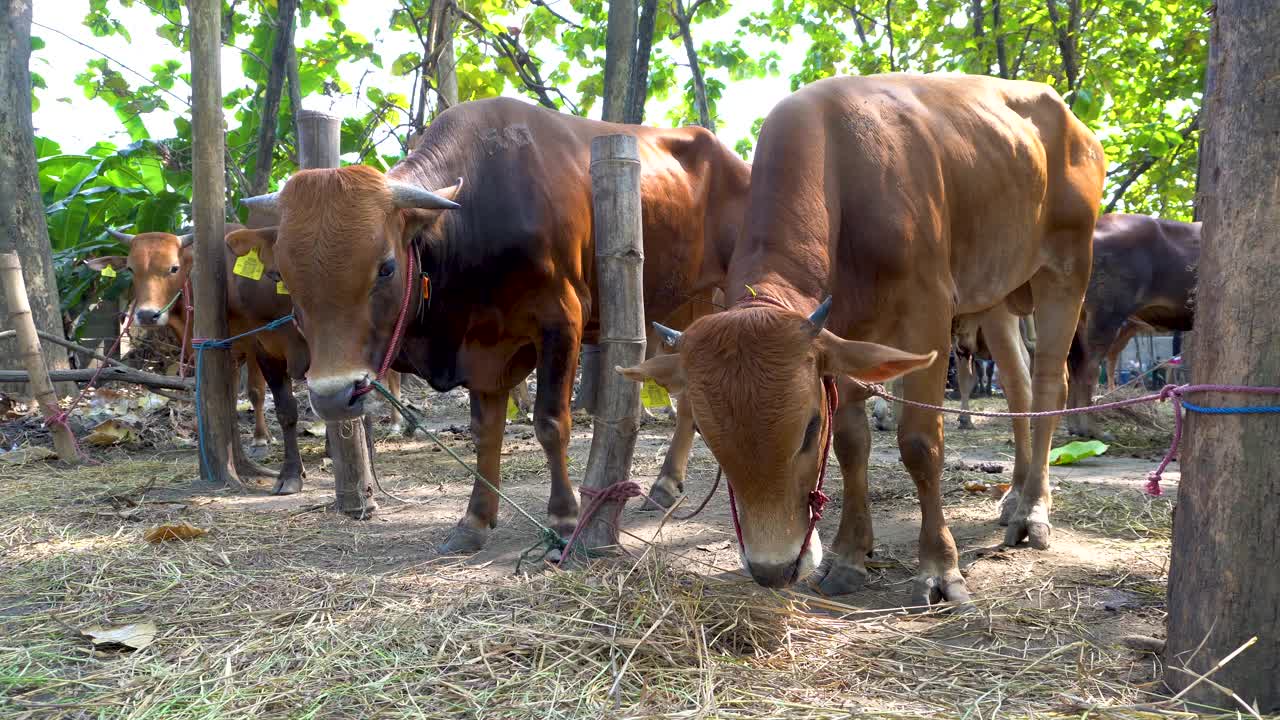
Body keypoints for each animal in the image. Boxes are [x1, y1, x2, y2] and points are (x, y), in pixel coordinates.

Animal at [227, 96, 747, 548]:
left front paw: (564, 515)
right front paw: (475, 519)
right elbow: (486, 431)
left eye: (386, 267)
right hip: (685, 307)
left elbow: (550, 423)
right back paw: (665, 484)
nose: (334, 396)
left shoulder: (562, 321)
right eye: (283, 277)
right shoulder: (483, 348)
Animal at [616, 73, 1100, 602]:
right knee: (1018, 387)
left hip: (1067, 268)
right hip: (994, 295)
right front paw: (850, 555)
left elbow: (919, 444)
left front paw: (939, 568)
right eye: (704, 430)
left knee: (1050, 384)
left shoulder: (928, 313)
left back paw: (1033, 511)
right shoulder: (842, 337)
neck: (844, 178)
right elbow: (851, 443)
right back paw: (1014, 496)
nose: (772, 570)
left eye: (809, 428)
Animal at [1059, 211, 1198, 438]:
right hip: (1106, 316)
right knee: (1089, 369)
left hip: (1080, 319)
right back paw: (1093, 430)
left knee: (1075, 369)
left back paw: (1076, 428)